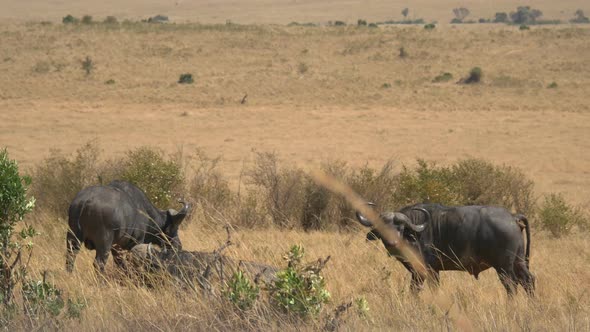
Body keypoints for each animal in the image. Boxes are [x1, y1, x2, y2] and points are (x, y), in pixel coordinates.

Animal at [358, 202, 540, 296]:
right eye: (382, 227)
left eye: (401, 227)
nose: (391, 242)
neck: (415, 234)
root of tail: (512, 217)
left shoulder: (427, 271)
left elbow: (419, 290)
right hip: (519, 261)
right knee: (528, 280)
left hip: (504, 266)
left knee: (512, 285)